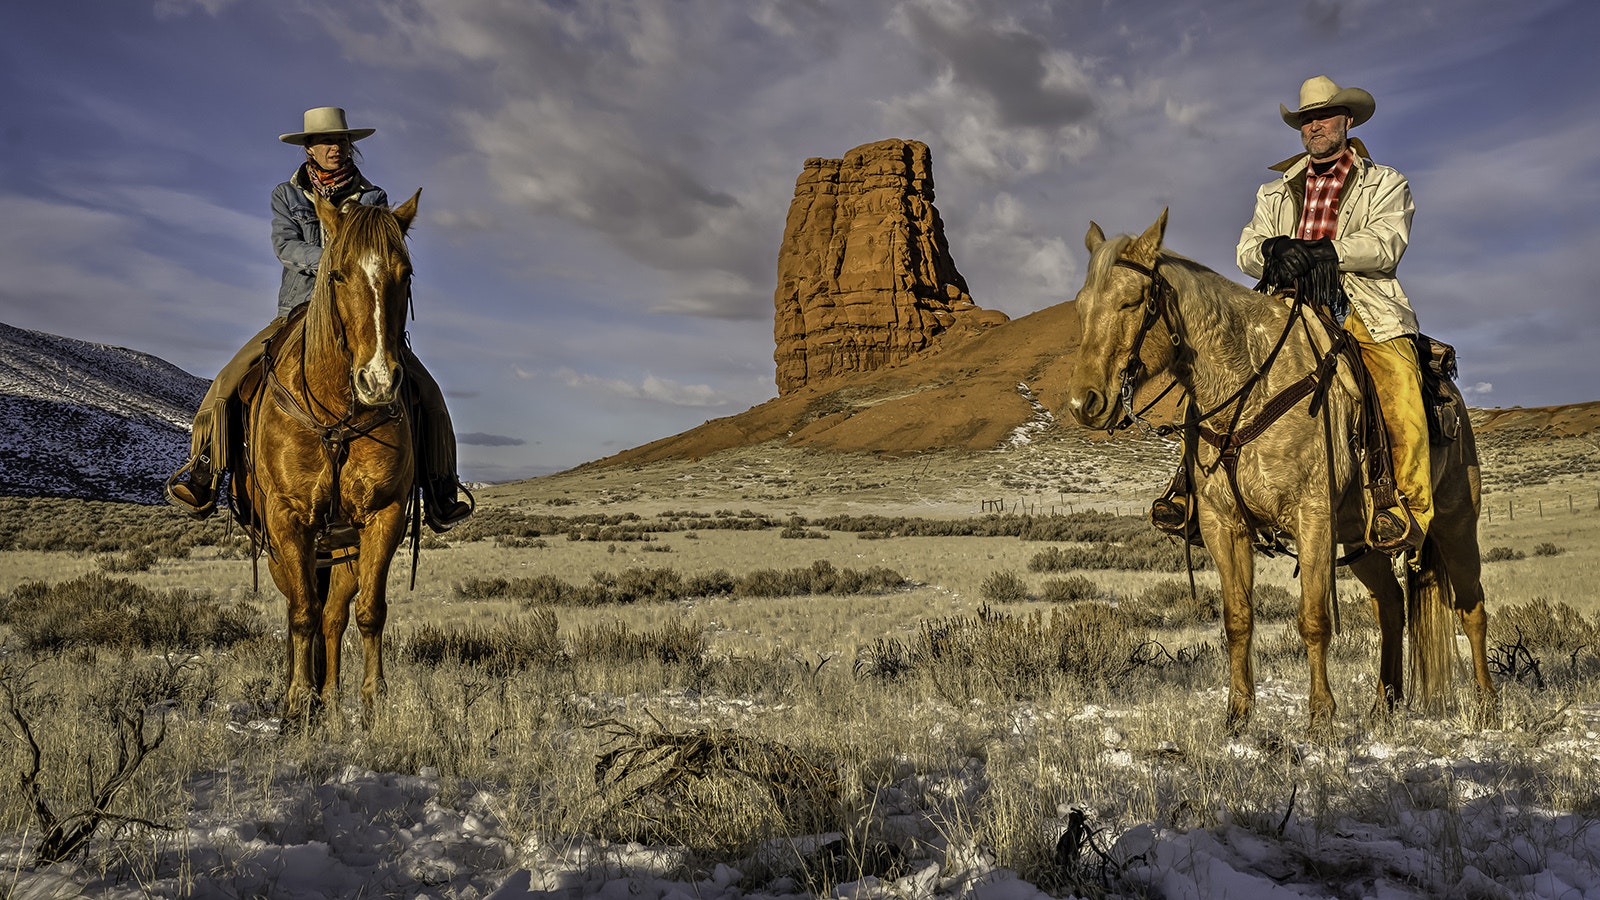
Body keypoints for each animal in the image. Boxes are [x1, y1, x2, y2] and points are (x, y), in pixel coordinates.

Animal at [236, 188, 422, 720]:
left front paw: (372, 697)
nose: (378, 382)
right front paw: (298, 700)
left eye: (406, 274)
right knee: (305, 609)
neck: (335, 409)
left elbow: (369, 612)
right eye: (337, 274)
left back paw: (332, 693)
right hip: (282, 550)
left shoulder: (383, 515)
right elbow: (301, 612)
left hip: (342, 547)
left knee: (335, 613)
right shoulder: (288, 519)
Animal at [1068, 212, 1491, 733]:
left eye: (1131, 301)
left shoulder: (1312, 517)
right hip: (1362, 539)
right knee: (1391, 606)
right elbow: (1237, 620)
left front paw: (1321, 719)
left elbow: (1313, 620)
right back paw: (1384, 707)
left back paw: (1488, 707)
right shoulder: (1222, 525)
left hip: (1455, 523)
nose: (1084, 403)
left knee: (1471, 608)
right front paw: (1238, 716)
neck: (1251, 385)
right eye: (1081, 307)